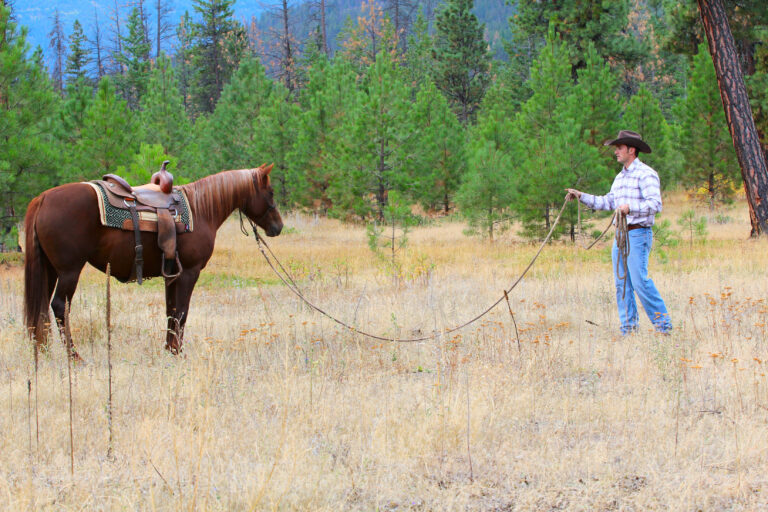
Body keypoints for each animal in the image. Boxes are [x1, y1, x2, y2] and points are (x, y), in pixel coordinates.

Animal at [23, 164, 283, 358]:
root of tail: (43, 198)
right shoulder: (190, 271)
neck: (200, 209)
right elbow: (182, 312)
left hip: (49, 270)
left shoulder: (172, 273)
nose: (278, 226)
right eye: (270, 192)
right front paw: (178, 352)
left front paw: (169, 350)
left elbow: (171, 311)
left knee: (42, 310)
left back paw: (43, 352)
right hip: (69, 271)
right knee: (59, 306)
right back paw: (74, 356)